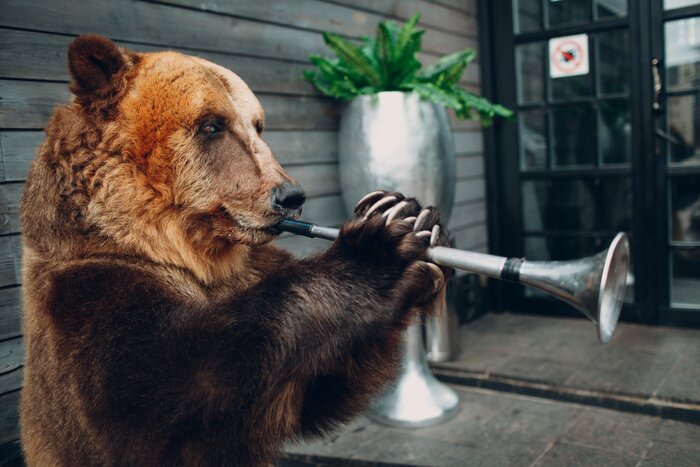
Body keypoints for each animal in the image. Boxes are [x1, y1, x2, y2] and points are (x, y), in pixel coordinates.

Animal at [19, 34, 449, 466]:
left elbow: (318, 387)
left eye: (257, 125)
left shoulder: (253, 266)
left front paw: (409, 211)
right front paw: (379, 252)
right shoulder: (82, 292)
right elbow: (171, 388)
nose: (290, 196)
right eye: (212, 125)